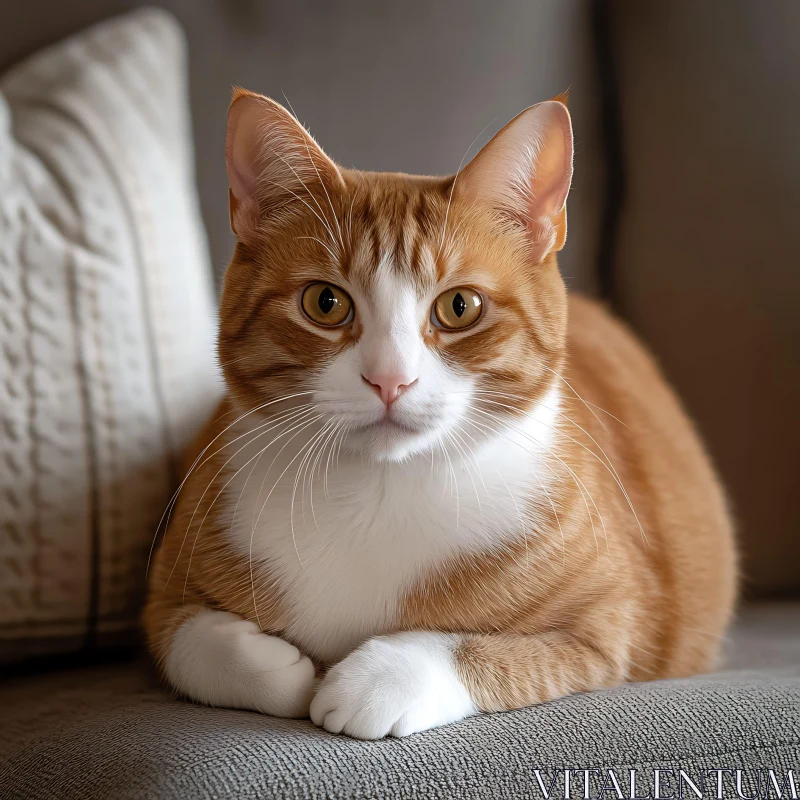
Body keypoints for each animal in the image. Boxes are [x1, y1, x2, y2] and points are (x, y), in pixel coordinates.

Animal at [144, 86, 736, 736]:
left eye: (459, 307)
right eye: (325, 303)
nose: (390, 379)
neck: (376, 493)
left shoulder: (608, 627)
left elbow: (477, 649)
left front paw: (378, 679)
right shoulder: (162, 597)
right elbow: (194, 646)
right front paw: (283, 667)